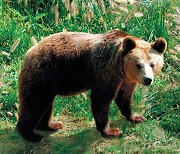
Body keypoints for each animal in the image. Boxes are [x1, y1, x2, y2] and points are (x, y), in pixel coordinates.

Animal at [16, 29, 167, 142]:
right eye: (138, 64)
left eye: (152, 64)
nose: (147, 79)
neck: (120, 67)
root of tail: (30, 50)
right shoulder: (105, 71)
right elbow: (101, 99)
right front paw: (111, 130)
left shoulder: (126, 80)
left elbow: (124, 97)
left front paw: (136, 117)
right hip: (45, 72)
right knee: (35, 102)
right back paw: (30, 134)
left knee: (45, 103)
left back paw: (51, 125)